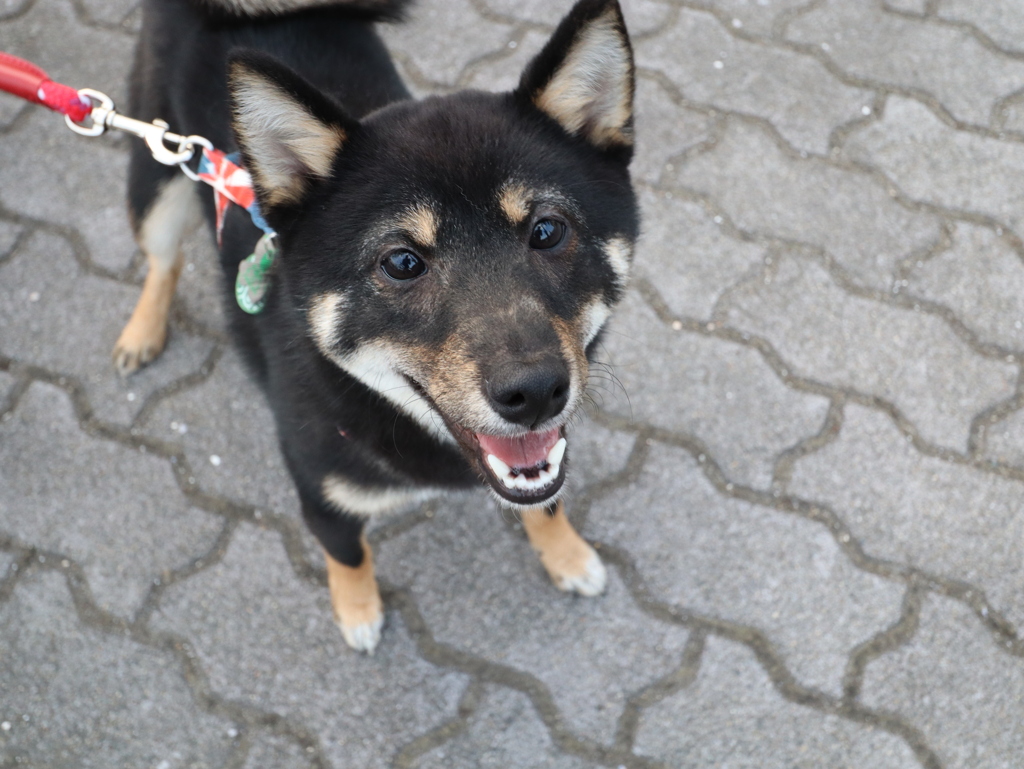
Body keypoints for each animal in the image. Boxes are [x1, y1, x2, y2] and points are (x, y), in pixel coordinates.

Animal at [117, 0, 638, 651]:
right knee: (162, 259)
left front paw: (566, 555)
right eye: (402, 262)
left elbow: (547, 502)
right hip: (157, 182)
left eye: (547, 230)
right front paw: (359, 611)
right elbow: (348, 557)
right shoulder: (323, 494)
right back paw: (141, 332)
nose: (536, 392)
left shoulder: (545, 454)